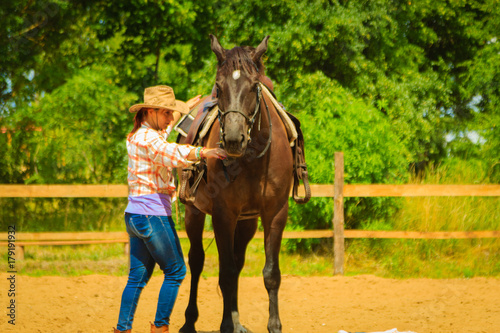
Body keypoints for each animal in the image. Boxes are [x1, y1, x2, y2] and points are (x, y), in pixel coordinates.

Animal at [180, 34, 294, 332]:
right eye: (219, 87)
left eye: (254, 86)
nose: (233, 139)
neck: (251, 161)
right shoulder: (223, 215)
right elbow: (226, 273)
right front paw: (225, 325)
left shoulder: (275, 214)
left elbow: (270, 273)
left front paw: (273, 325)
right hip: (193, 213)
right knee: (197, 261)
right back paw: (189, 321)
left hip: (247, 222)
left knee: (237, 261)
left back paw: (236, 320)